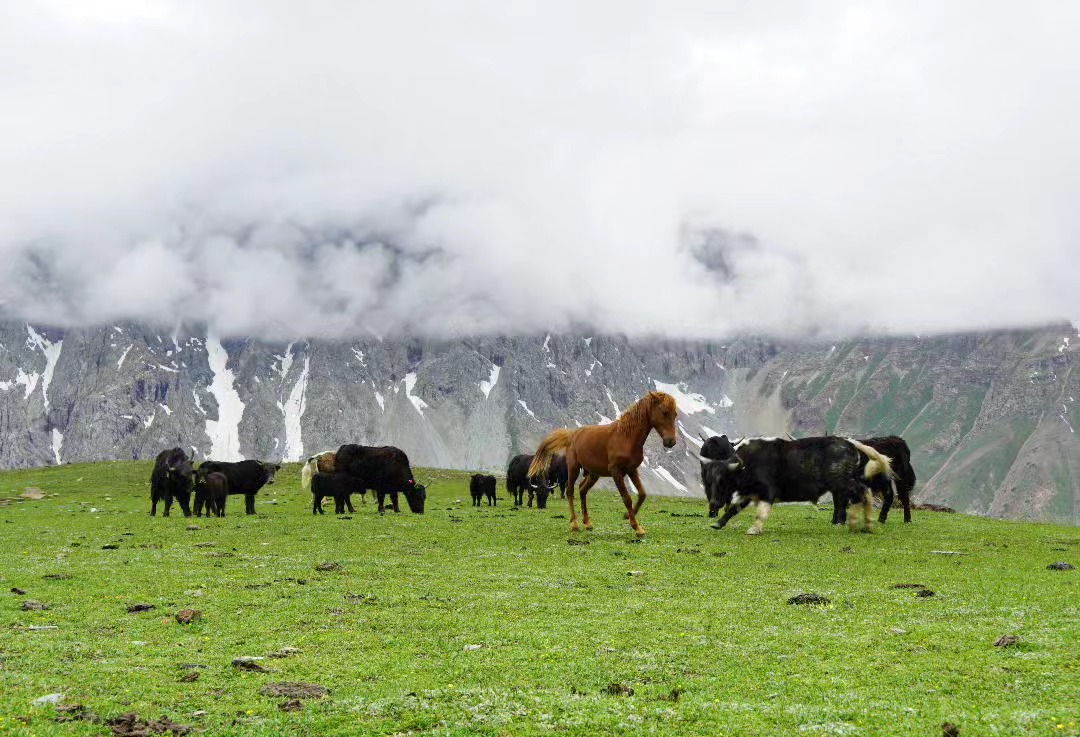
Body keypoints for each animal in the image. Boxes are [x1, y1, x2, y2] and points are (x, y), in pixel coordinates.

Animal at [528, 391, 678, 536]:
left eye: (675, 414)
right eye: (664, 412)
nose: (670, 442)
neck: (626, 437)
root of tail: (572, 435)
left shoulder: (632, 470)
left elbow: (642, 494)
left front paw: (627, 516)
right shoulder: (617, 472)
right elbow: (627, 498)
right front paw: (636, 527)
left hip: (593, 474)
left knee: (582, 490)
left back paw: (587, 523)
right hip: (573, 469)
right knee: (570, 492)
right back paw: (575, 524)